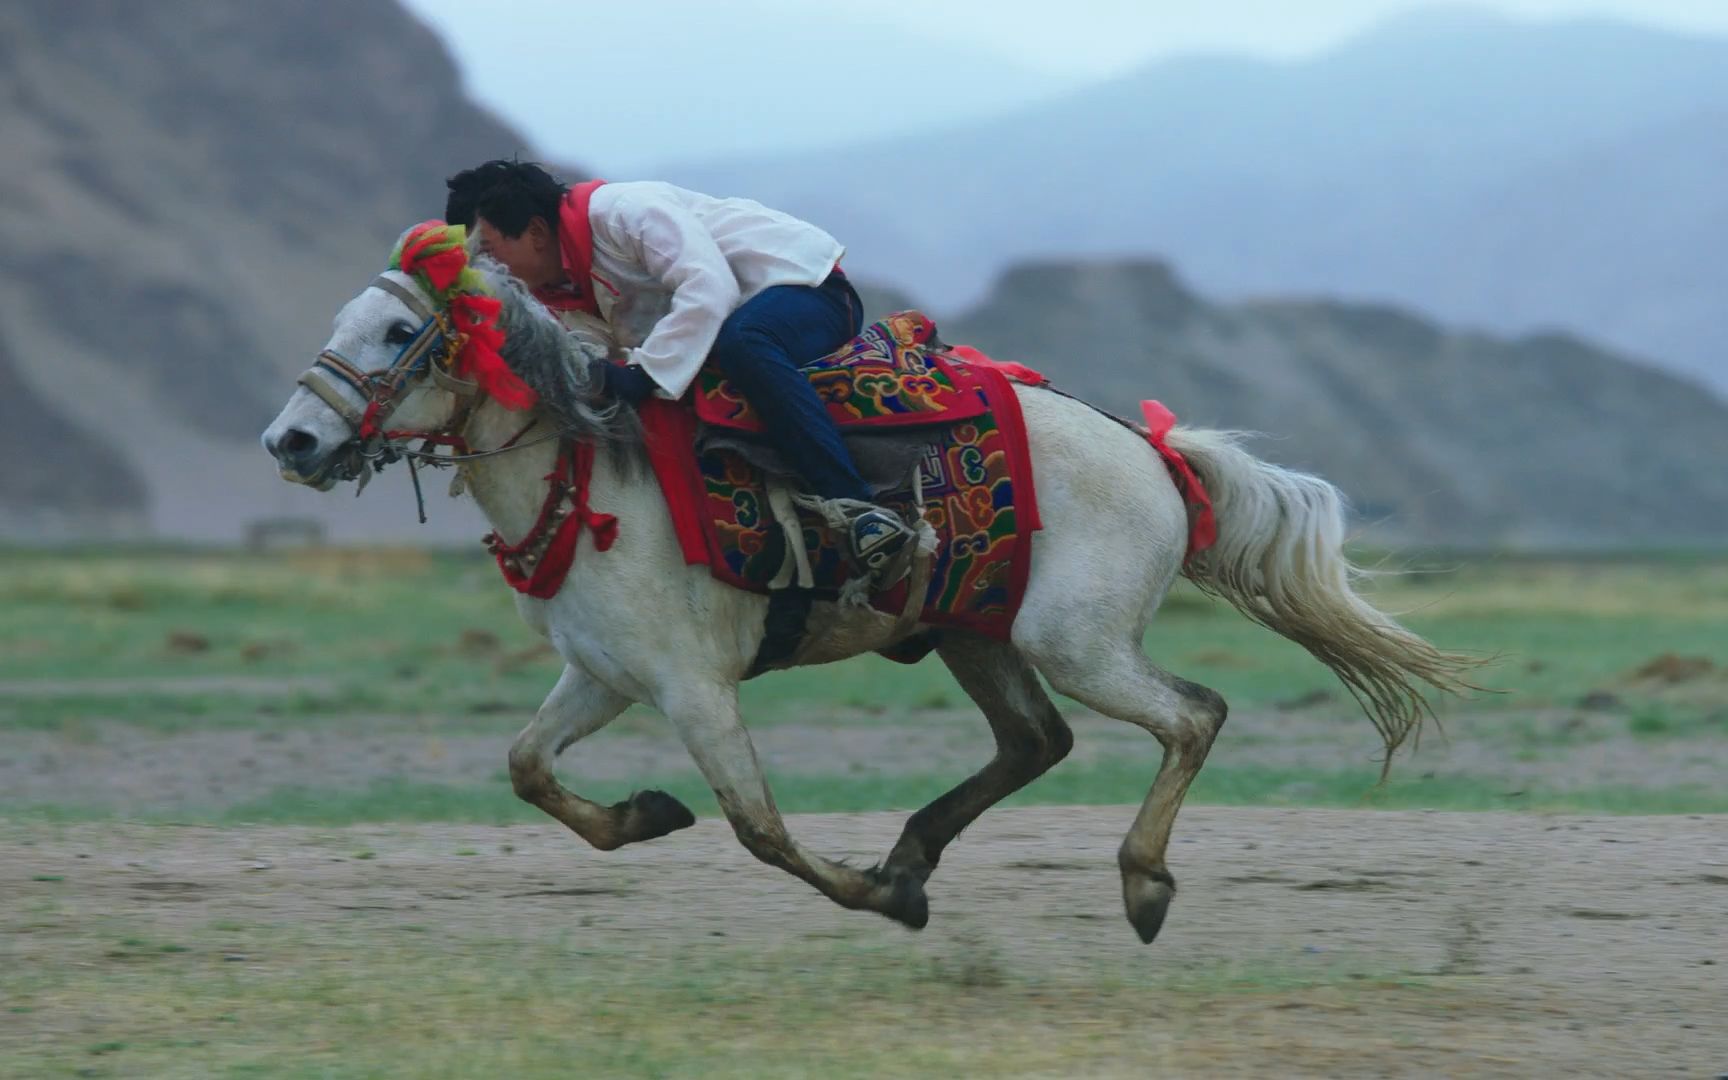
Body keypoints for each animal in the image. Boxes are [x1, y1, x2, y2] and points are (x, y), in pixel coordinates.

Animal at [259, 222, 1472, 940]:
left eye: (400, 329)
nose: (292, 442)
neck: (594, 470)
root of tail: (1154, 451)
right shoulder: (601, 676)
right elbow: (525, 770)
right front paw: (648, 815)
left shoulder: (696, 689)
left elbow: (758, 828)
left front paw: (876, 899)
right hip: (981, 632)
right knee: (1037, 741)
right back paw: (918, 850)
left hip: (1075, 641)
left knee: (1192, 714)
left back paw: (1138, 882)